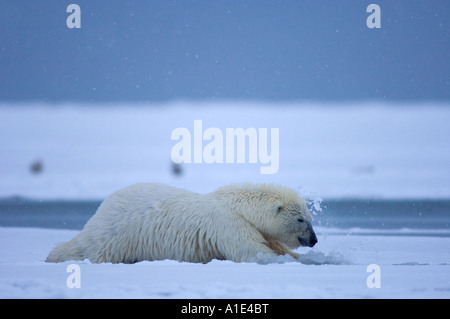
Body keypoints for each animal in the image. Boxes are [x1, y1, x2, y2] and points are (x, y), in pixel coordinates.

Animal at [46, 184, 316, 264]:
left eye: (311, 218)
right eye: (300, 219)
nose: (313, 240)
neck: (238, 205)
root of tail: (103, 206)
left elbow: (274, 245)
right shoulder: (228, 224)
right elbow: (252, 252)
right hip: (117, 234)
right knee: (90, 248)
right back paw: (54, 255)